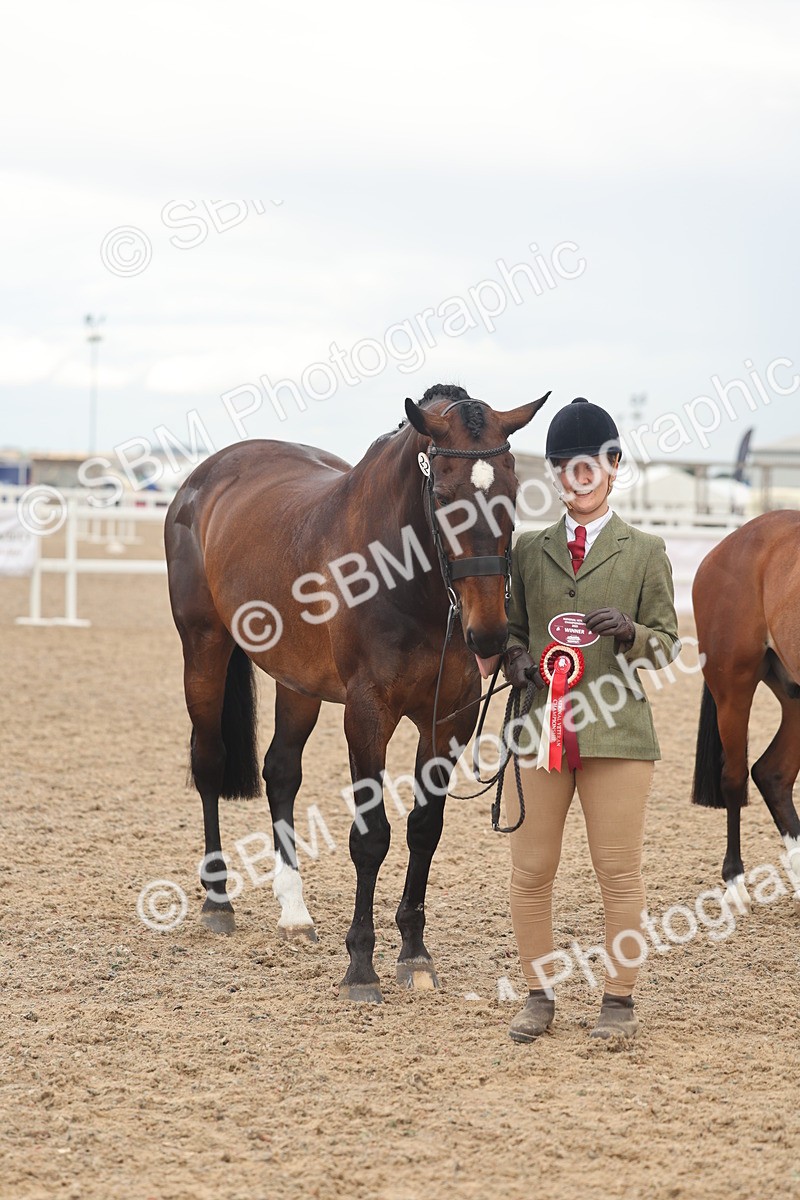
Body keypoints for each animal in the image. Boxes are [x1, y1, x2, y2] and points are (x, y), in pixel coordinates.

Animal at [164, 384, 549, 1003]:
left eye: (513, 493)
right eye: (444, 496)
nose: (489, 634)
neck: (407, 582)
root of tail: (205, 476)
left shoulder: (446, 722)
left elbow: (424, 831)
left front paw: (414, 954)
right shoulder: (368, 716)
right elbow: (371, 838)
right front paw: (361, 966)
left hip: (297, 682)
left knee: (281, 773)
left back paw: (294, 913)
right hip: (203, 647)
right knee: (209, 761)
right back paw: (218, 899)